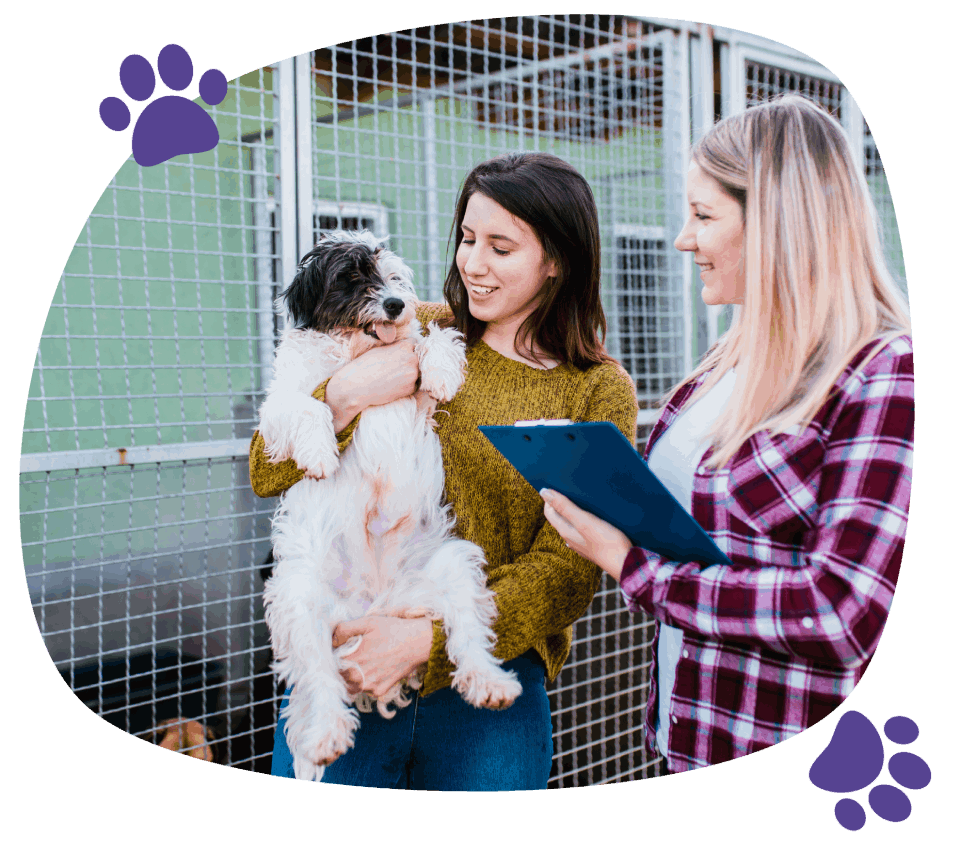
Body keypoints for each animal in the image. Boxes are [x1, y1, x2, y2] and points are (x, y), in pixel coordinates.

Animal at [258, 230, 520, 784]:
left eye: (393, 277)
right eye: (350, 276)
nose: (396, 303)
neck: (357, 349)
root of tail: (376, 604)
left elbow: (432, 337)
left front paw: (440, 373)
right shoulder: (280, 403)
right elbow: (310, 404)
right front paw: (319, 454)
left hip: (452, 566)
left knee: (466, 634)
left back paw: (490, 683)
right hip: (301, 597)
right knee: (318, 677)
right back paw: (326, 736)